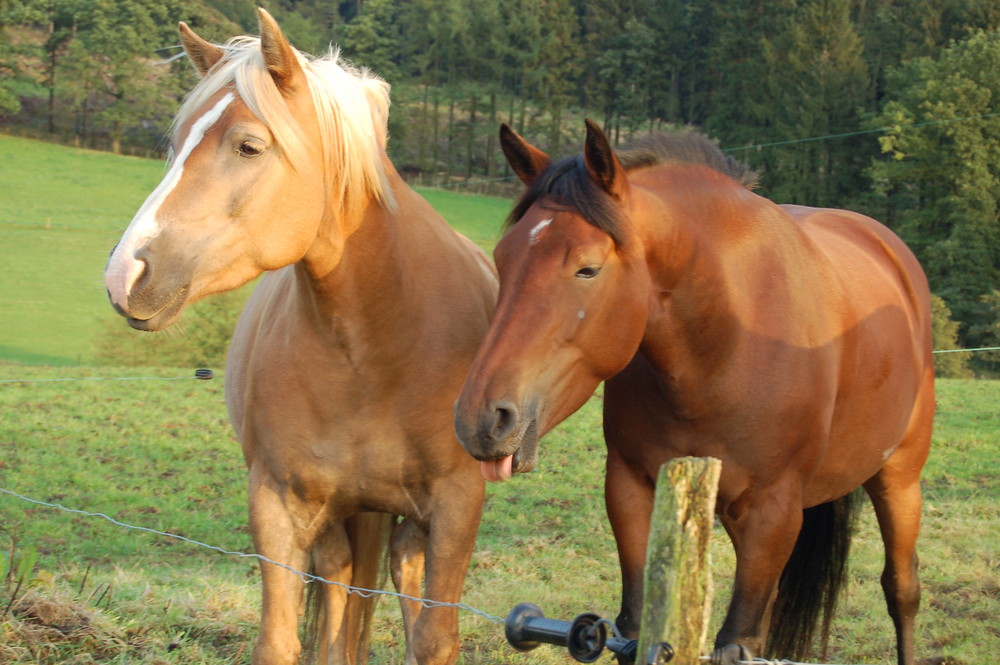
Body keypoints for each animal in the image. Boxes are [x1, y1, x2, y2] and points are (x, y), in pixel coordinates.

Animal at [103, 10, 498, 664]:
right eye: (176, 143)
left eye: (249, 145)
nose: (124, 274)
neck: (375, 347)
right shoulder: (277, 504)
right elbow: (281, 639)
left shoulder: (456, 506)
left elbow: (435, 638)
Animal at [456, 120, 936, 664]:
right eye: (503, 258)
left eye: (587, 268)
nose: (481, 420)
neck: (726, 342)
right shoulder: (630, 488)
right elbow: (637, 628)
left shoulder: (773, 510)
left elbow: (737, 642)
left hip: (898, 479)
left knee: (901, 590)